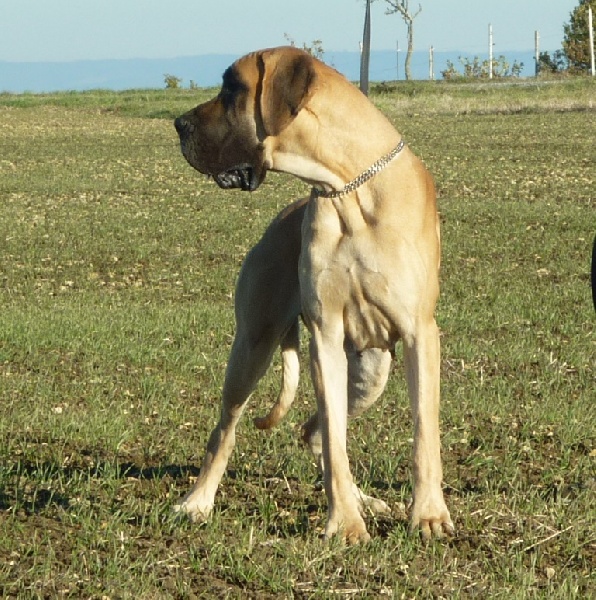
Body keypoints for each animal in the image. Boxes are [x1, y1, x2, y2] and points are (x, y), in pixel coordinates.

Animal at [175, 48, 454, 544]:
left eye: (233, 89)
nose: (179, 124)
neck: (347, 187)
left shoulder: (420, 335)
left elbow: (424, 433)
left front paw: (427, 514)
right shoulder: (325, 337)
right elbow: (336, 446)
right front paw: (344, 523)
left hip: (370, 373)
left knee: (315, 432)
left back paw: (367, 500)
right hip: (252, 347)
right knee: (232, 430)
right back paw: (197, 502)